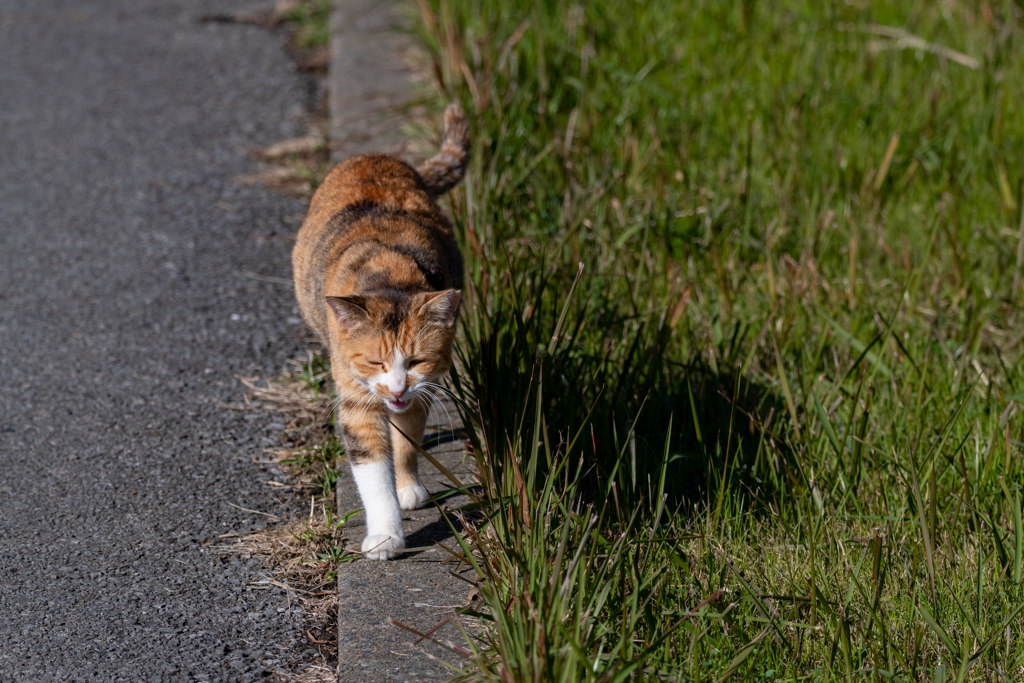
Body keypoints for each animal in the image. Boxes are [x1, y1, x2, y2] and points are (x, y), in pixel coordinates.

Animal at [290, 102, 468, 561]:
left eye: (417, 359)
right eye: (374, 361)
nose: (396, 388)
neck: (390, 274)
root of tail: (376, 156)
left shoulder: (424, 387)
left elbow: (406, 438)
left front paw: (407, 486)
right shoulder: (355, 397)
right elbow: (372, 468)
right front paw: (386, 536)